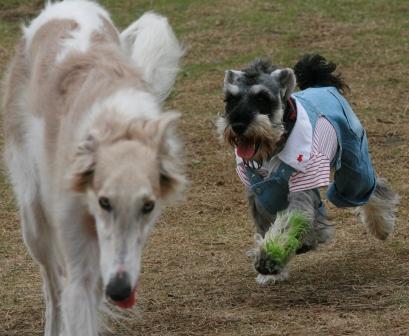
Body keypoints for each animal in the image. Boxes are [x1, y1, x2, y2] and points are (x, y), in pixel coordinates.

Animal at [2, 1, 184, 334]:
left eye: (148, 206)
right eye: (104, 201)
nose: (120, 291)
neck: (121, 124)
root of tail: (64, 6)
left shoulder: (111, 258)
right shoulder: (83, 264)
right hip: (33, 219)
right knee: (53, 286)